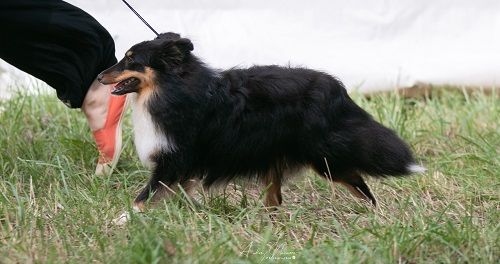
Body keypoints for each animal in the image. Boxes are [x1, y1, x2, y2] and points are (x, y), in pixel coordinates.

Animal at [98, 32, 426, 210]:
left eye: (131, 60)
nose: (100, 76)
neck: (172, 87)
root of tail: (337, 89)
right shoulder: (181, 167)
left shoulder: (175, 160)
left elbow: (142, 198)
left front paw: (122, 220)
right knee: (276, 198)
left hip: (324, 157)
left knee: (359, 181)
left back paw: (376, 216)